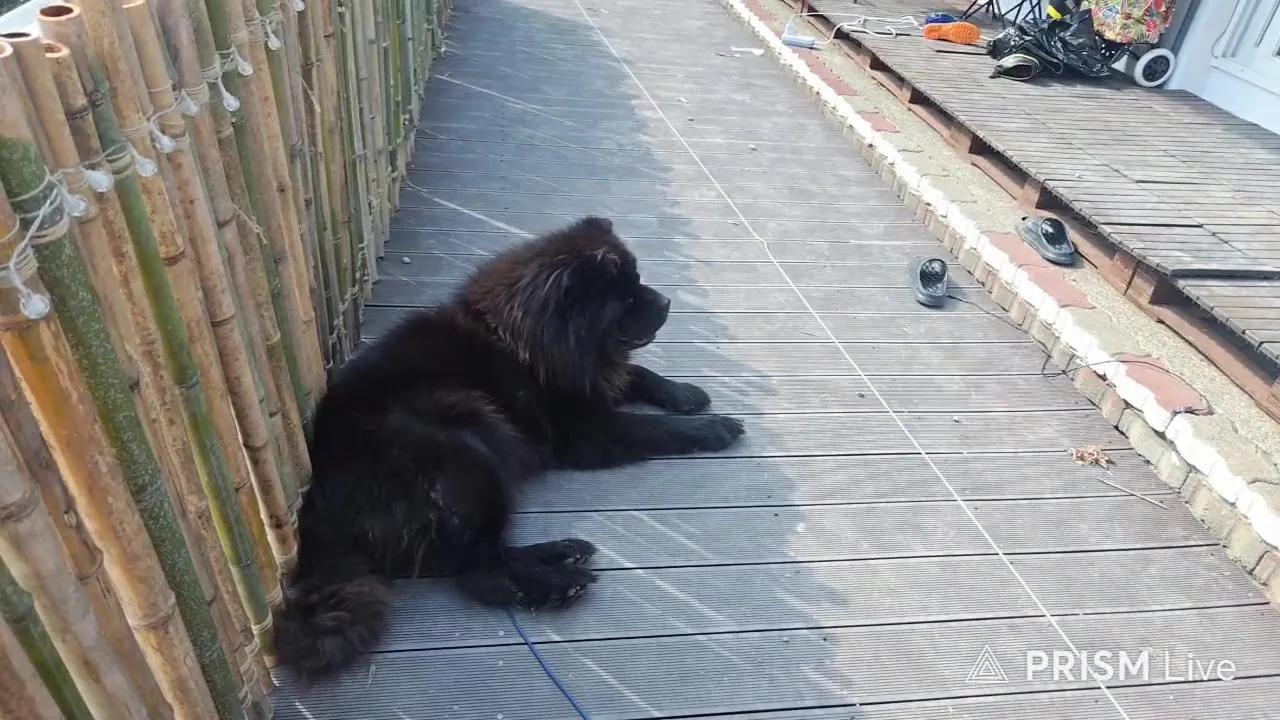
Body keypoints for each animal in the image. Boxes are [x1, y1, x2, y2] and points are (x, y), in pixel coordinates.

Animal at [276, 216, 746, 681]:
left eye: (638, 281)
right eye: (626, 296)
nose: (666, 302)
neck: (528, 338)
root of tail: (317, 511)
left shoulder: (592, 378)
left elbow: (637, 373)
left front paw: (684, 393)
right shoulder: (588, 426)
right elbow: (655, 426)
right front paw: (713, 427)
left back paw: (562, 553)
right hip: (472, 450)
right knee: (483, 573)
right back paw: (558, 581)